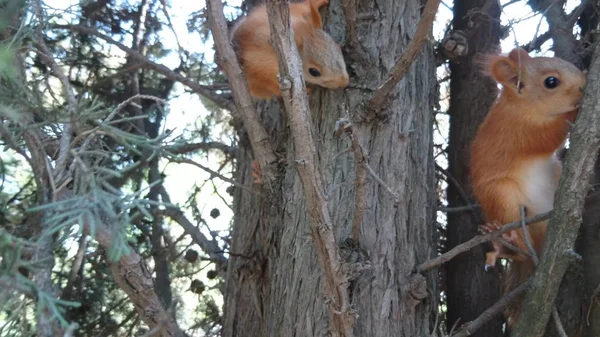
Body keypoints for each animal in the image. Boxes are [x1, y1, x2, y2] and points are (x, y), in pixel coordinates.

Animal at [468, 46, 584, 326]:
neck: (523, 107)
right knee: (519, 250)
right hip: (503, 197)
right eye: (551, 82)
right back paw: (504, 245)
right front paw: (572, 112)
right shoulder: (519, 133)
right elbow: (549, 136)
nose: (584, 85)